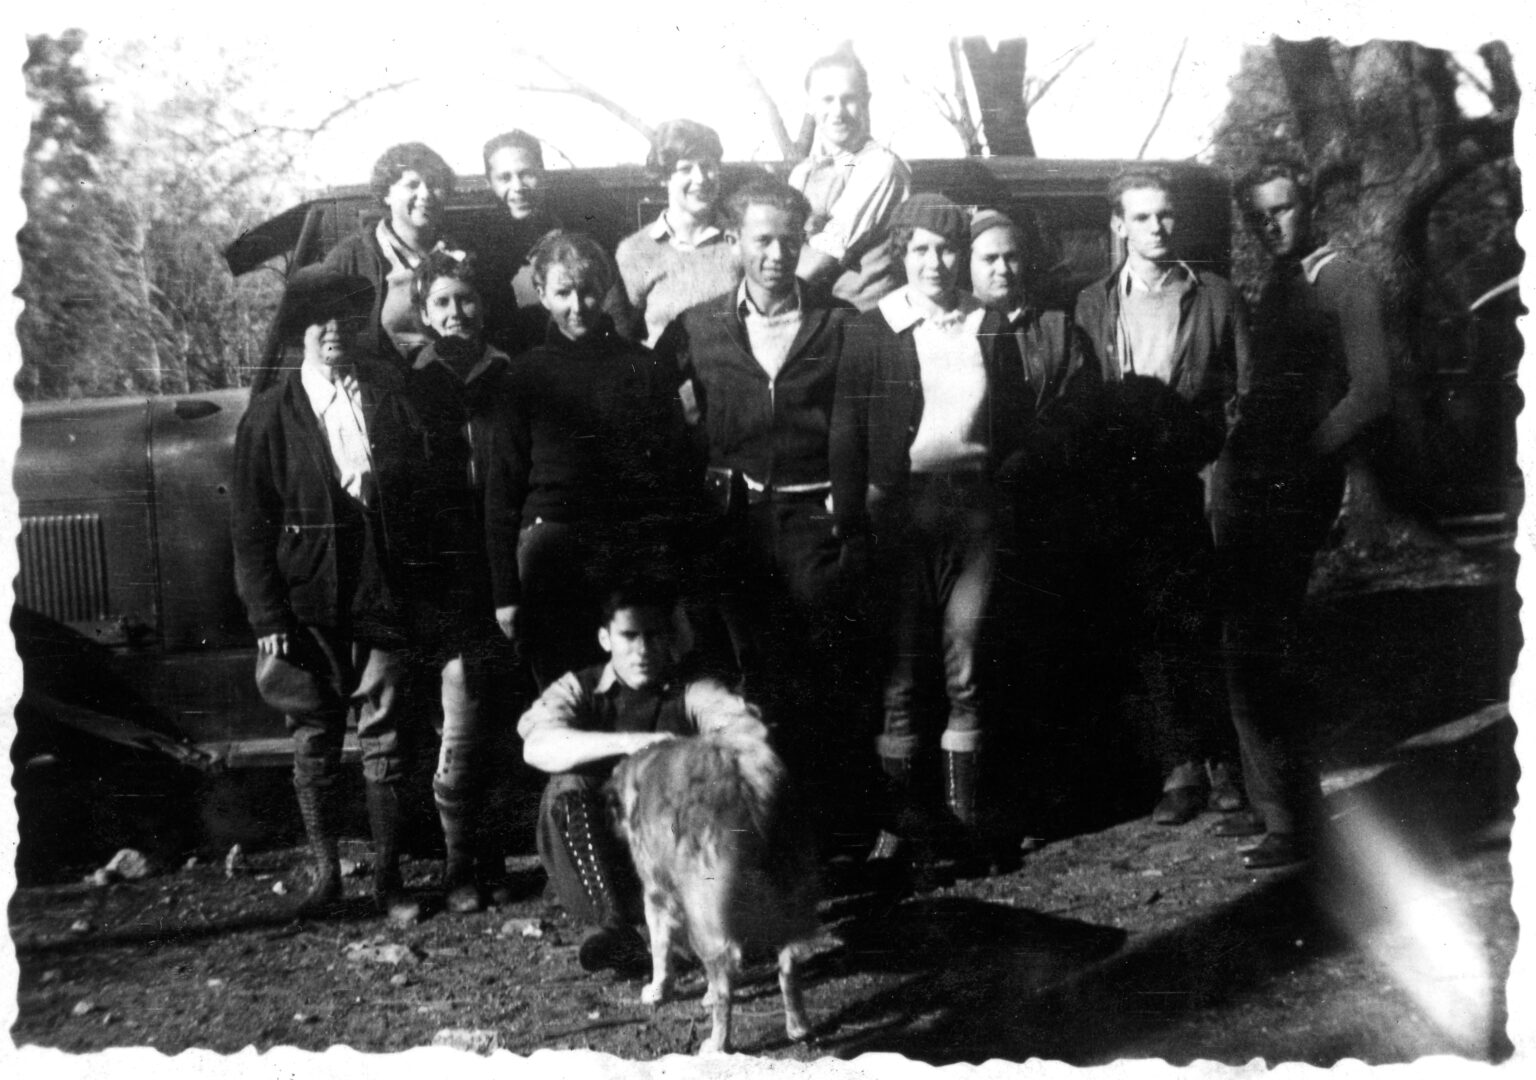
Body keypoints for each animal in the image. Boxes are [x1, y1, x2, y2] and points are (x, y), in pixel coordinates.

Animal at [611, 722, 829, 1050]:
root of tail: (749, 783)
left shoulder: (657, 894)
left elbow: (661, 952)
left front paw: (658, 991)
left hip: (707, 919)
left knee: (727, 974)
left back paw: (717, 1044)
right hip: (791, 908)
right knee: (789, 968)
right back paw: (798, 1028)